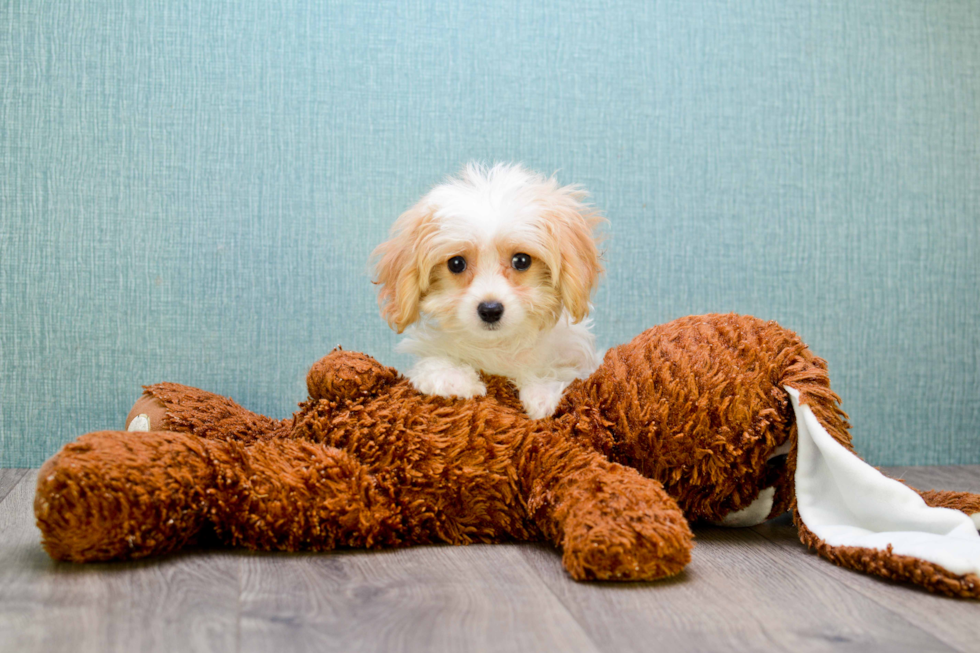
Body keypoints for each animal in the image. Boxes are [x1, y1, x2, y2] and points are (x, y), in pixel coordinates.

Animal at [374, 163, 604, 418]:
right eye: (456, 264)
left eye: (522, 260)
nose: (490, 310)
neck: (497, 347)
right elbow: (434, 364)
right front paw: (452, 379)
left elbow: (559, 373)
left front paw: (542, 394)